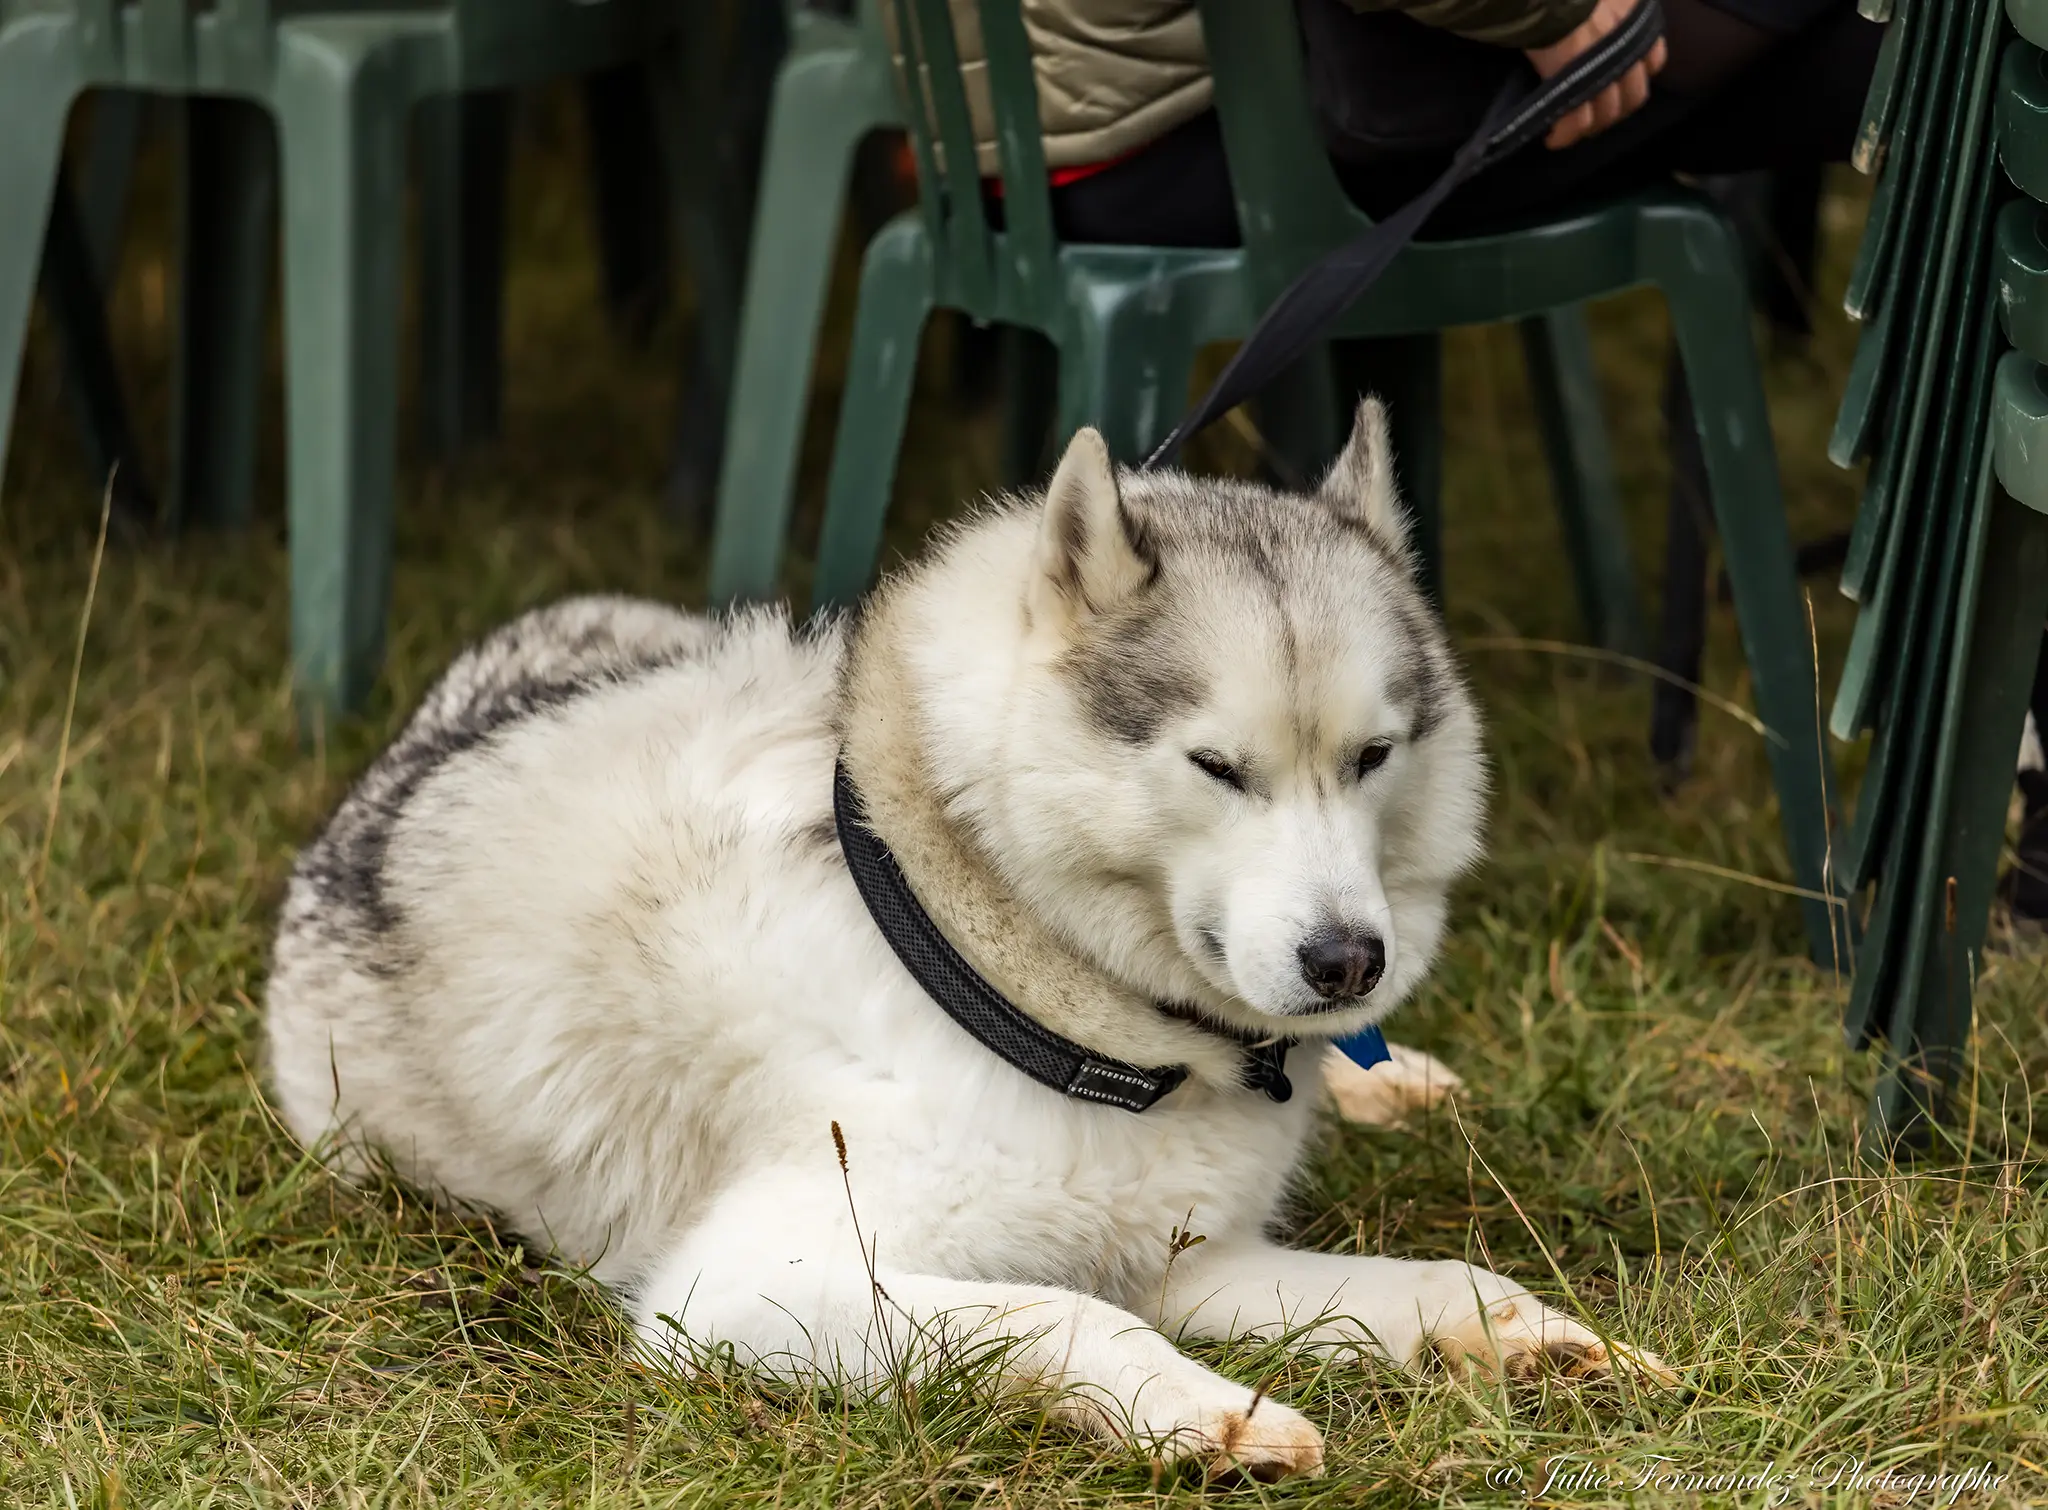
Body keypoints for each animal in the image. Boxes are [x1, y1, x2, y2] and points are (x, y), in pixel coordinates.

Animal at [272, 397, 1671, 1475]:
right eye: (1216, 767)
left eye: (1372, 756)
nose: (1347, 964)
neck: (990, 970)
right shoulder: (737, 1290)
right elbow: (1063, 1313)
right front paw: (1205, 1415)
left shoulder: (1182, 1254)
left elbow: (1429, 1275)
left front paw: (1525, 1336)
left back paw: (1402, 1083)